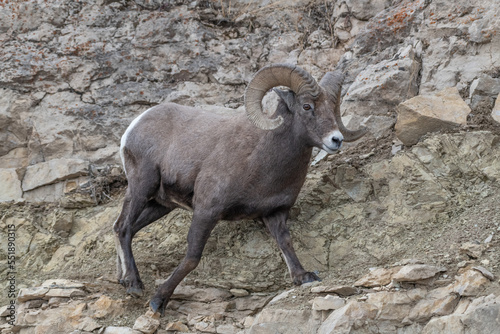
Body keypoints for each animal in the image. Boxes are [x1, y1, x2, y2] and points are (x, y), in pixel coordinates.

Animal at [116, 62, 368, 314]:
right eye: (307, 106)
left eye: (332, 108)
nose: (336, 140)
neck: (262, 162)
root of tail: (134, 126)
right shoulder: (206, 211)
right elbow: (192, 257)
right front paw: (159, 301)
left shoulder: (276, 214)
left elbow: (285, 241)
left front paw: (303, 276)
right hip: (141, 188)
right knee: (123, 227)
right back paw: (134, 285)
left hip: (161, 204)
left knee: (128, 229)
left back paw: (123, 280)